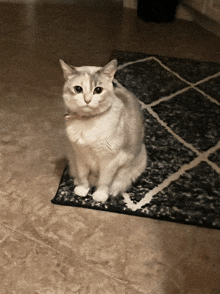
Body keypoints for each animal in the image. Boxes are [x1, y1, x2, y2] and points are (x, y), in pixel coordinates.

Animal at [59, 58, 147, 203]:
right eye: (78, 89)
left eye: (98, 90)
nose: (87, 100)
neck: (88, 122)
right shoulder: (80, 155)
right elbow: (83, 176)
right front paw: (83, 189)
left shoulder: (109, 160)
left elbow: (104, 181)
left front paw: (100, 196)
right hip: (71, 155)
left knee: (119, 182)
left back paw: (112, 191)